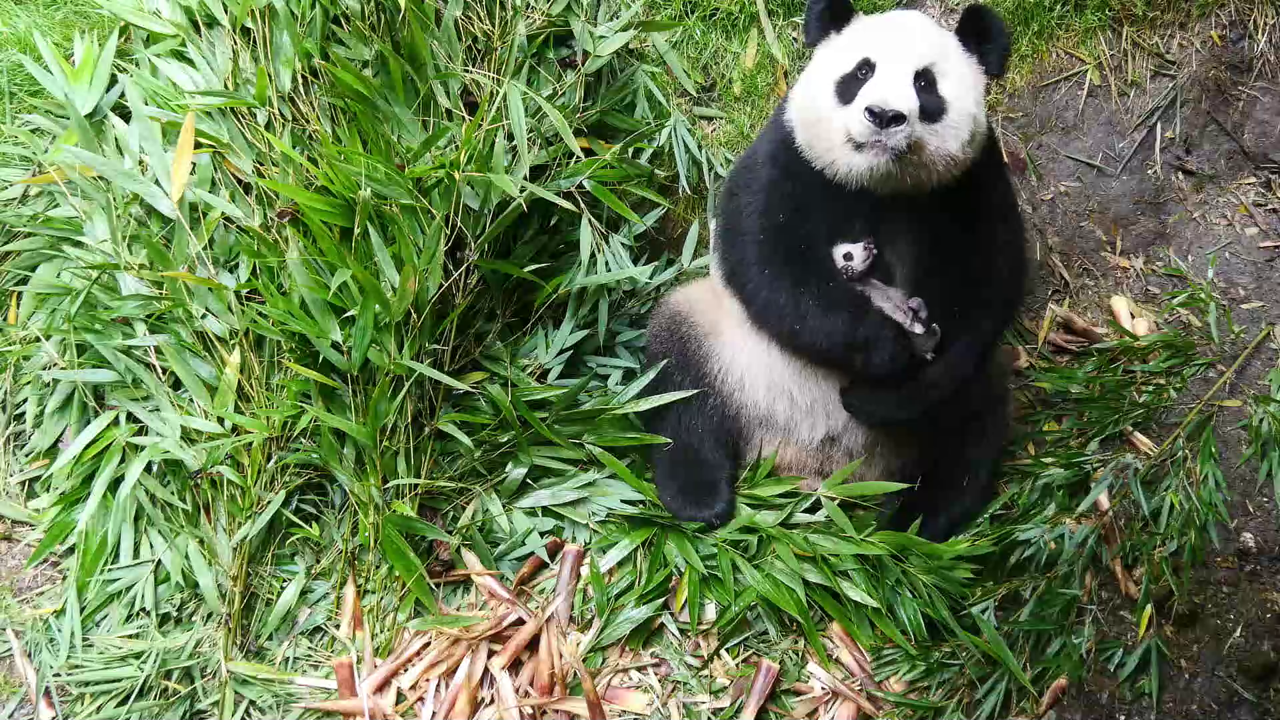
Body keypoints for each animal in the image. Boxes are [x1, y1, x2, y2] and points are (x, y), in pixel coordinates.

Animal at [642, 1, 1027, 541]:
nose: (883, 116)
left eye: (925, 84)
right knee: (680, 383)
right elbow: (764, 260)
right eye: (861, 72)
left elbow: (992, 279)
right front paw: (886, 350)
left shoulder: (973, 179)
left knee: (974, 419)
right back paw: (700, 499)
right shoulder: (790, 154)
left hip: (956, 401)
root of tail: (813, 466)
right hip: (730, 350)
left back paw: (916, 518)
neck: (880, 182)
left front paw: (885, 392)